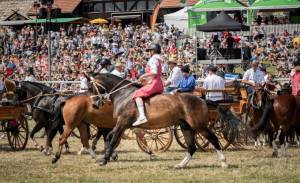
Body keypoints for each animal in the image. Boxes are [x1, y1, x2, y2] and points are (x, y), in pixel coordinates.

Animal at [51, 73, 239, 168]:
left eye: (91, 87)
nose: (95, 104)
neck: (123, 94)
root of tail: (201, 99)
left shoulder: (122, 122)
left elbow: (112, 138)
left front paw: (104, 159)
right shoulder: (123, 125)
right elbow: (111, 138)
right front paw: (107, 156)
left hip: (198, 125)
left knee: (213, 139)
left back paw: (224, 162)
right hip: (186, 127)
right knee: (191, 147)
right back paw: (180, 165)